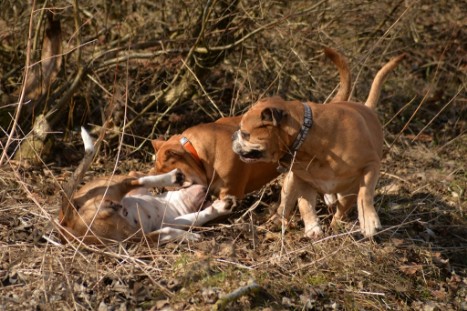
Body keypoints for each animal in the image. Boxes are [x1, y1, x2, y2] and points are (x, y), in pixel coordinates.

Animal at [58, 128, 236, 245]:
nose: (207, 191)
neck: (170, 203)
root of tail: (66, 219)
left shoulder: (173, 220)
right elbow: (198, 217)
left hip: (129, 235)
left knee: (158, 234)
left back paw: (187, 235)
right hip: (115, 186)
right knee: (136, 182)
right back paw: (173, 178)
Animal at [233, 54, 406, 239]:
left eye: (245, 133)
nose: (233, 136)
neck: (306, 134)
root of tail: (367, 107)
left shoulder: (371, 164)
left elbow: (364, 194)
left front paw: (368, 221)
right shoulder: (301, 179)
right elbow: (306, 205)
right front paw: (313, 228)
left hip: (347, 190)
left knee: (344, 206)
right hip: (290, 183)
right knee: (285, 206)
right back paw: (275, 222)